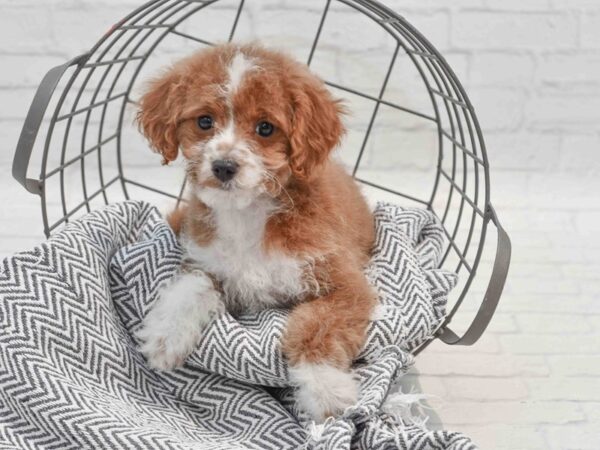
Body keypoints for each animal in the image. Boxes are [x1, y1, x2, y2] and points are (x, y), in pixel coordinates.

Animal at [137, 43, 376, 422]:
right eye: (204, 121)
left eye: (266, 128)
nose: (223, 166)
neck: (247, 214)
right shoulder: (203, 256)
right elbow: (192, 284)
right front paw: (166, 333)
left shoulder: (346, 286)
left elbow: (316, 325)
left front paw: (325, 389)